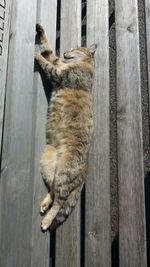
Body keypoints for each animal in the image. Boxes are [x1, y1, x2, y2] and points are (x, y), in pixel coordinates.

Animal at [34, 24, 96, 231]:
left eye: (76, 48)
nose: (66, 51)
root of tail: (84, 171)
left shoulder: (59, 74)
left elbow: (47, 62)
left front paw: (36, 55)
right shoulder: (58, 63)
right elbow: (48, 50)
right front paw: (40, 30)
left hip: (63, 173)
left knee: (60, 201)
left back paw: (46, 220)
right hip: (48, 166)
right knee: (53, 191)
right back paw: (45, 204)